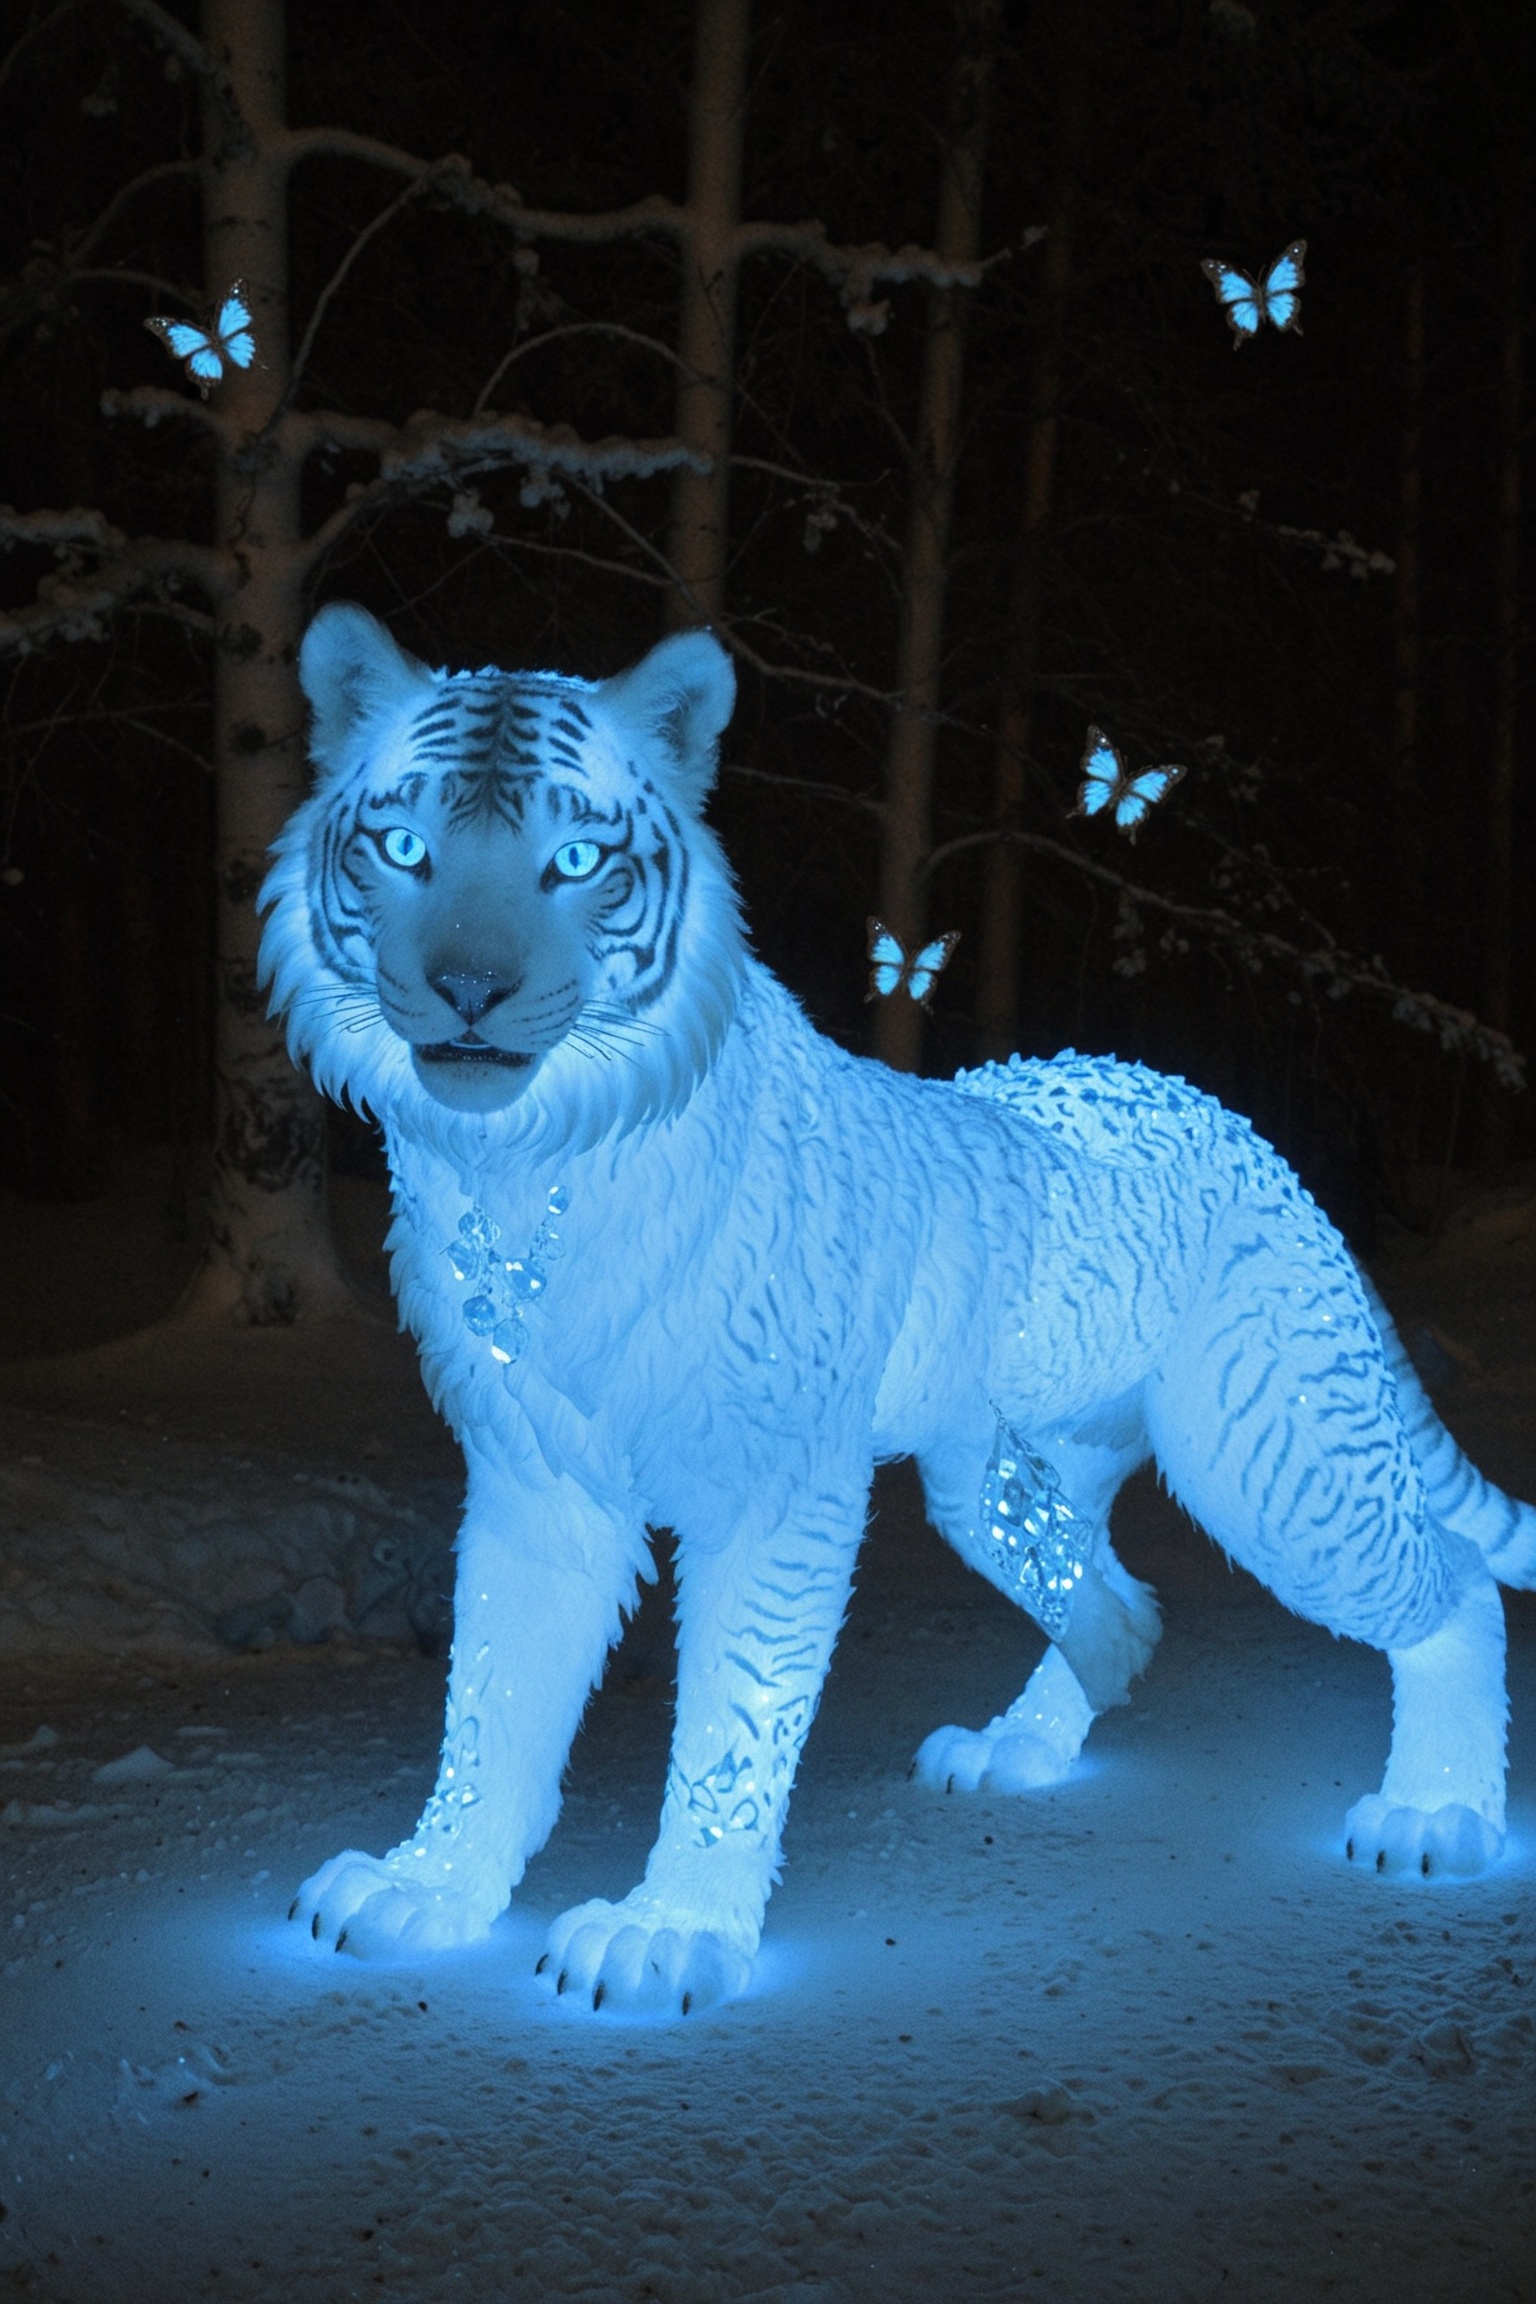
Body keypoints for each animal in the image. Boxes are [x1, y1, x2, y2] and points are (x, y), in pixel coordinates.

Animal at [259, 601, 1535, 2016]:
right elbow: (493, 1701)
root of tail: (1245, 1132)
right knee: (1121, 1602)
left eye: (577, 859)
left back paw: (1437, 1817)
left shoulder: (775, 1490)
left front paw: (669, 1935)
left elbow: (731, 1722)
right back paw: (1019, 1748)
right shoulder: (538, 1479)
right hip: (1001, 1484)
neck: (519, 1171)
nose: (469, 989)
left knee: (1453, 1587)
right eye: (405, 846)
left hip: (1271, 1457)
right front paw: (426, 1891)